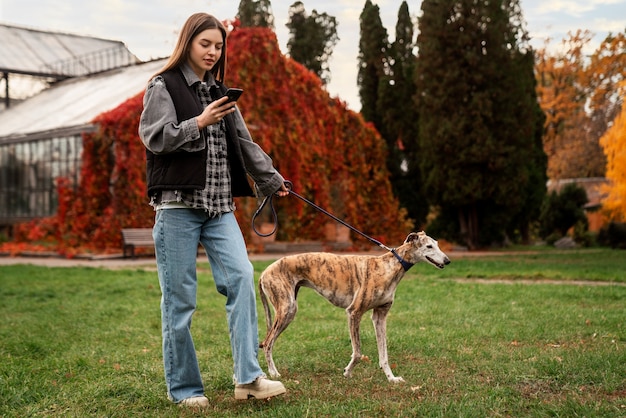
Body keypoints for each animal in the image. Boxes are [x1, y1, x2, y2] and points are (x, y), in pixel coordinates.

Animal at [258, 230, 448, 384]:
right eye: (429, 246)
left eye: (437, 244)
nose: (448, 261)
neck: (389, 267)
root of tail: (263, 273)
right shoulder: (354, 312)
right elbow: (357, 353)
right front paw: (347, 372)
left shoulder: (379, 316)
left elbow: (384, 354)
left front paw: (392, 378)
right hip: (287, 309)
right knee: (267, 343)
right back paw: (273, 373)